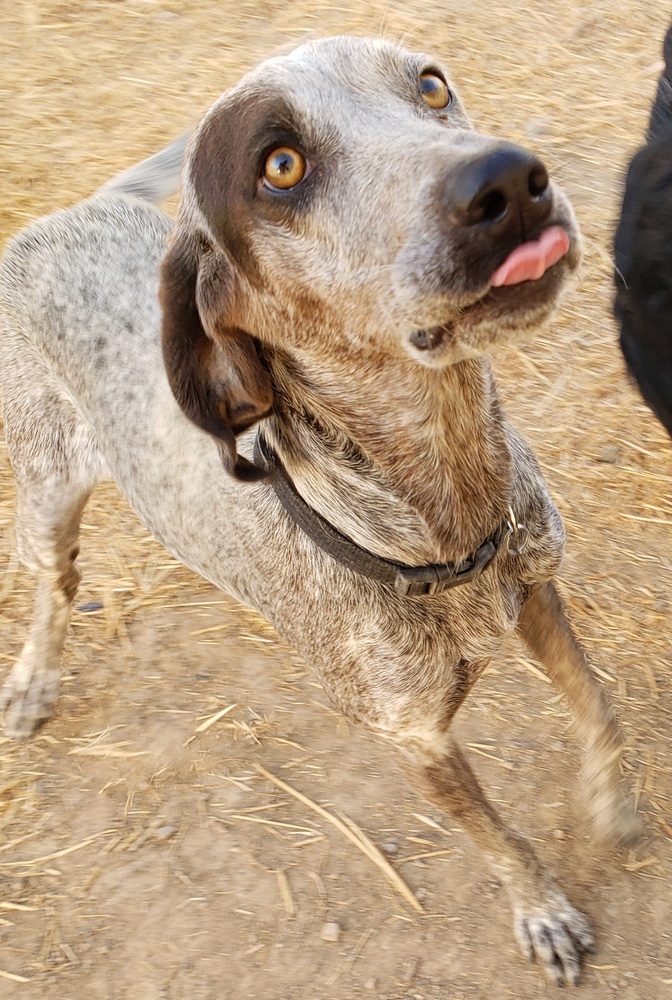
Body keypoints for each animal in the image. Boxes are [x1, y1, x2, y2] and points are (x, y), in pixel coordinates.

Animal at [0, 33, 636, 984]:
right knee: (57, 583)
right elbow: (497, 839)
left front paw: (609, 802)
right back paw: (34, 677)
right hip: (44, 493)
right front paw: (544, 912)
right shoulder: (416, 740)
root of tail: (66, 216)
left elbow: (595, 703)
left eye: (431, 86)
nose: (509, 180)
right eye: (281, 166)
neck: (443, 513)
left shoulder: (536, 594)